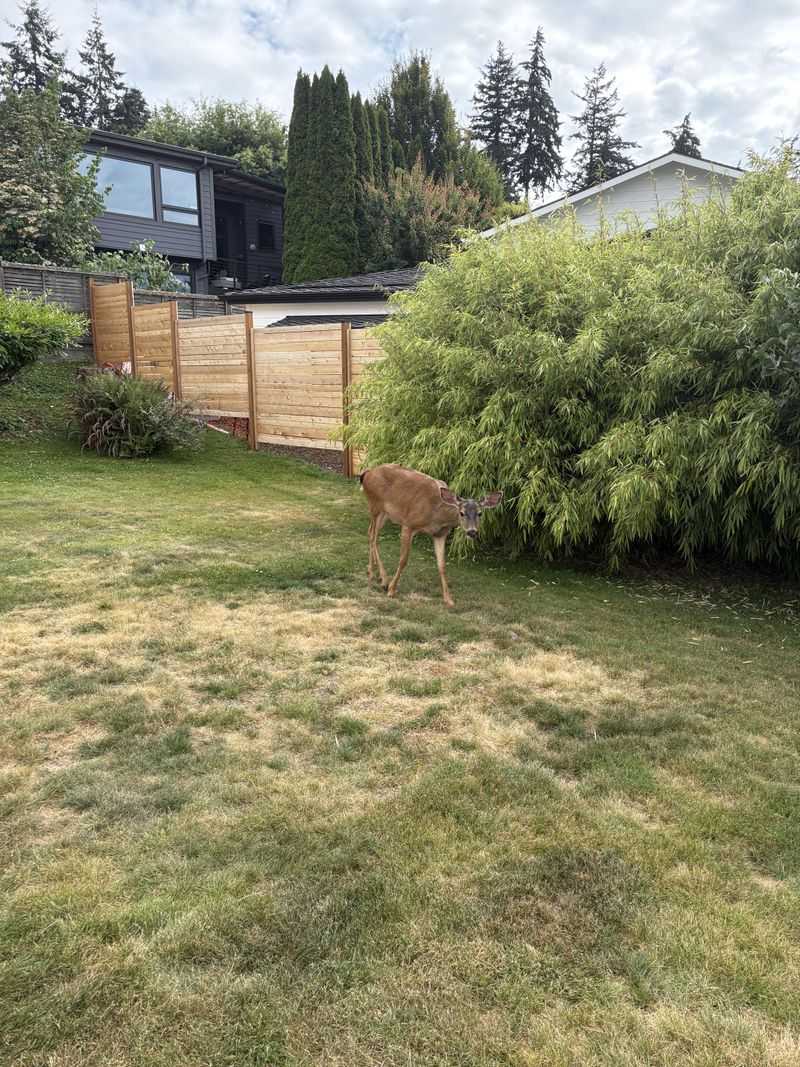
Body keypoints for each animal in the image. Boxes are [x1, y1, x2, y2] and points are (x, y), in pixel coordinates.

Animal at [360, 464, 502, 608]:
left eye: (480, 513)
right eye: (461, 513)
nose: (472, 532)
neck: (437, 514)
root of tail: (368, 473)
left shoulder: (440, 534)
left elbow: (442, 565)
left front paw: (449, 599)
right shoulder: (408, 524)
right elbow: (403, 560)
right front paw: (392, 590)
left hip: (385, 514)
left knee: (370, 532)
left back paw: (375, 573)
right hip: (375, 505)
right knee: (373, 536)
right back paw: (380, 578)